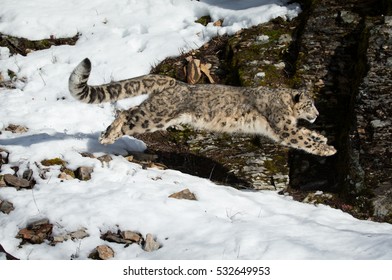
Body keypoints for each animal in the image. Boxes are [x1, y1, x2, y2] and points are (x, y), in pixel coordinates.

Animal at [68, 57, 336, 156]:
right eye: (310, 104)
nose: (317, 113)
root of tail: (173, 81)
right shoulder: (283, 127)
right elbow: (301, 138)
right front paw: (327, 150)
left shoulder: (290, 126)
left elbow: (305, 132)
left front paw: (323, 138)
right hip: (155, 116)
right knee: (127, 113)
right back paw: (108, 136)